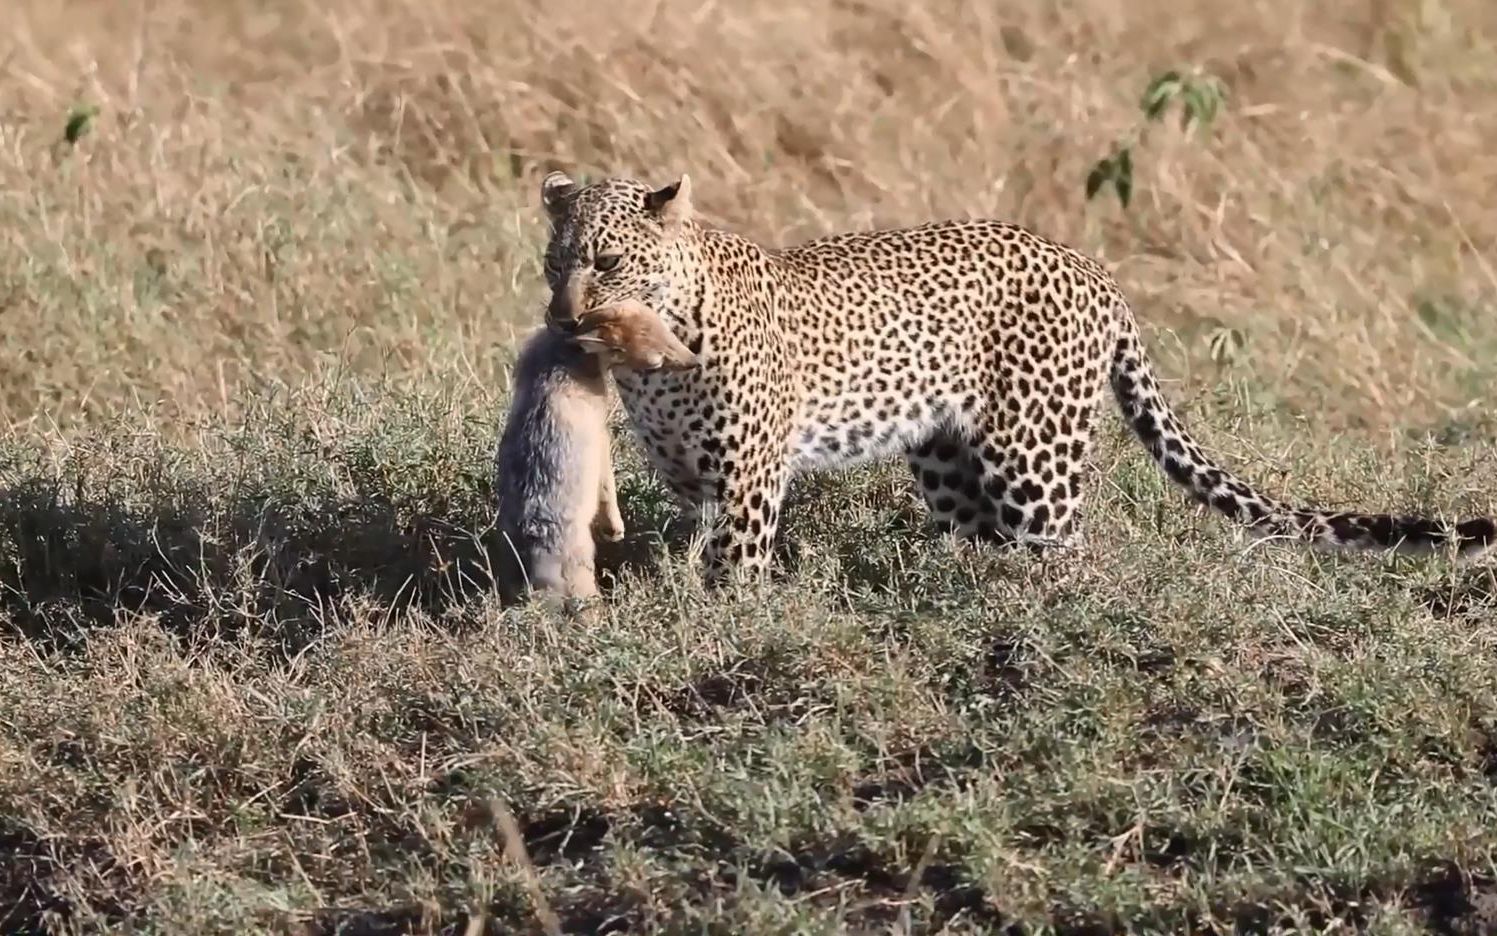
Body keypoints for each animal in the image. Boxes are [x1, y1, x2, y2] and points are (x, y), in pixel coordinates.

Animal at [532, 163, 1491, 581]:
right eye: (554, 263)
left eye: (608, 263)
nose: (564, 320)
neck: (660, 353)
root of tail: (1092, 268)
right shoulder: (690, 476)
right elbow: (691, 547)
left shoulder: (747, 475)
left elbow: (738, 557)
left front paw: (734, 611)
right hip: (945, 453)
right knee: (973, 531)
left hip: (1034, 460)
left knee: (1068, 549)